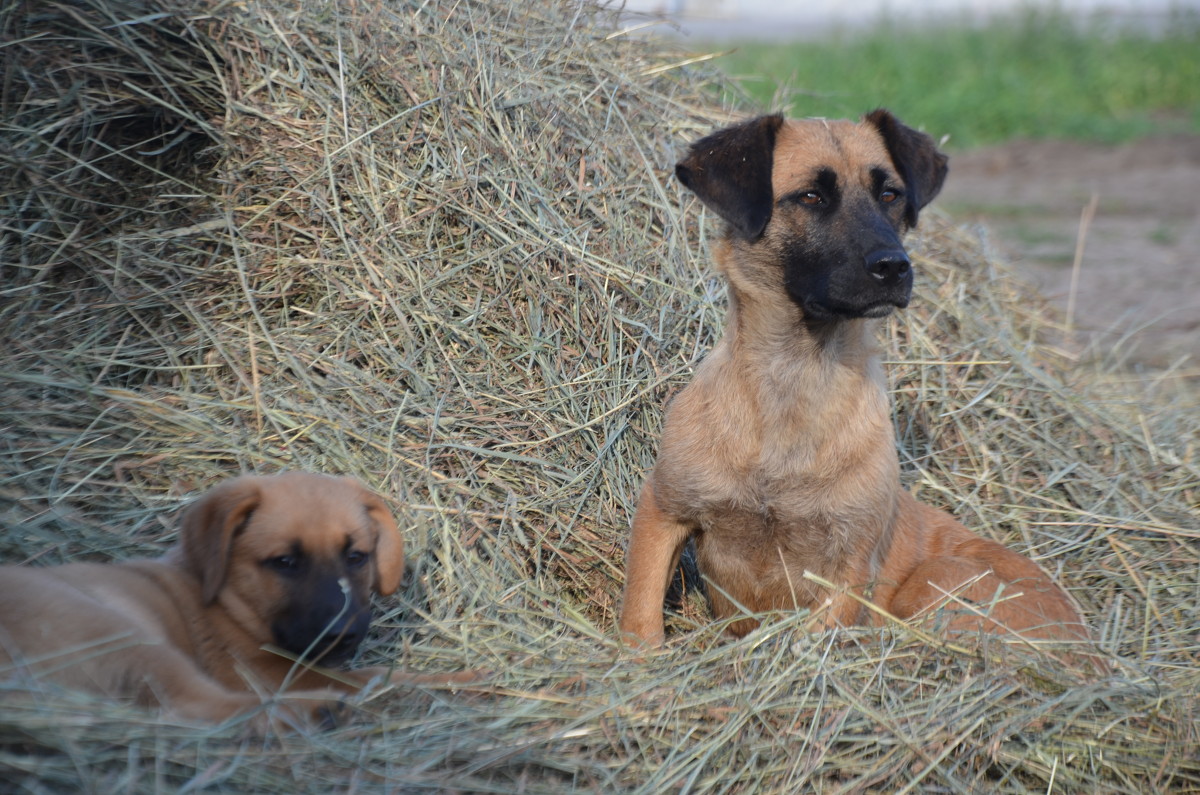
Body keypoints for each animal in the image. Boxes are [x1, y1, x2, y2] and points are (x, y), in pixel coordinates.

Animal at [1, 473, 468, 730]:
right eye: (285, 562)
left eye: (356, 557)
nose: (343, 634)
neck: (231, 608)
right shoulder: (264, 673)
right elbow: (385, 677)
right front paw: (470, 679)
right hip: (119, 631)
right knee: (195, 705)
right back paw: (313, 712)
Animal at [624, 110, 1094, 653]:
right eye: (811, 196)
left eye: (889, 194)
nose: (894, 266)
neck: (794, 382)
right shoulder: (662, 512)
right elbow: (640, 620)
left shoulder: (848, 562)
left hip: (936, 582)